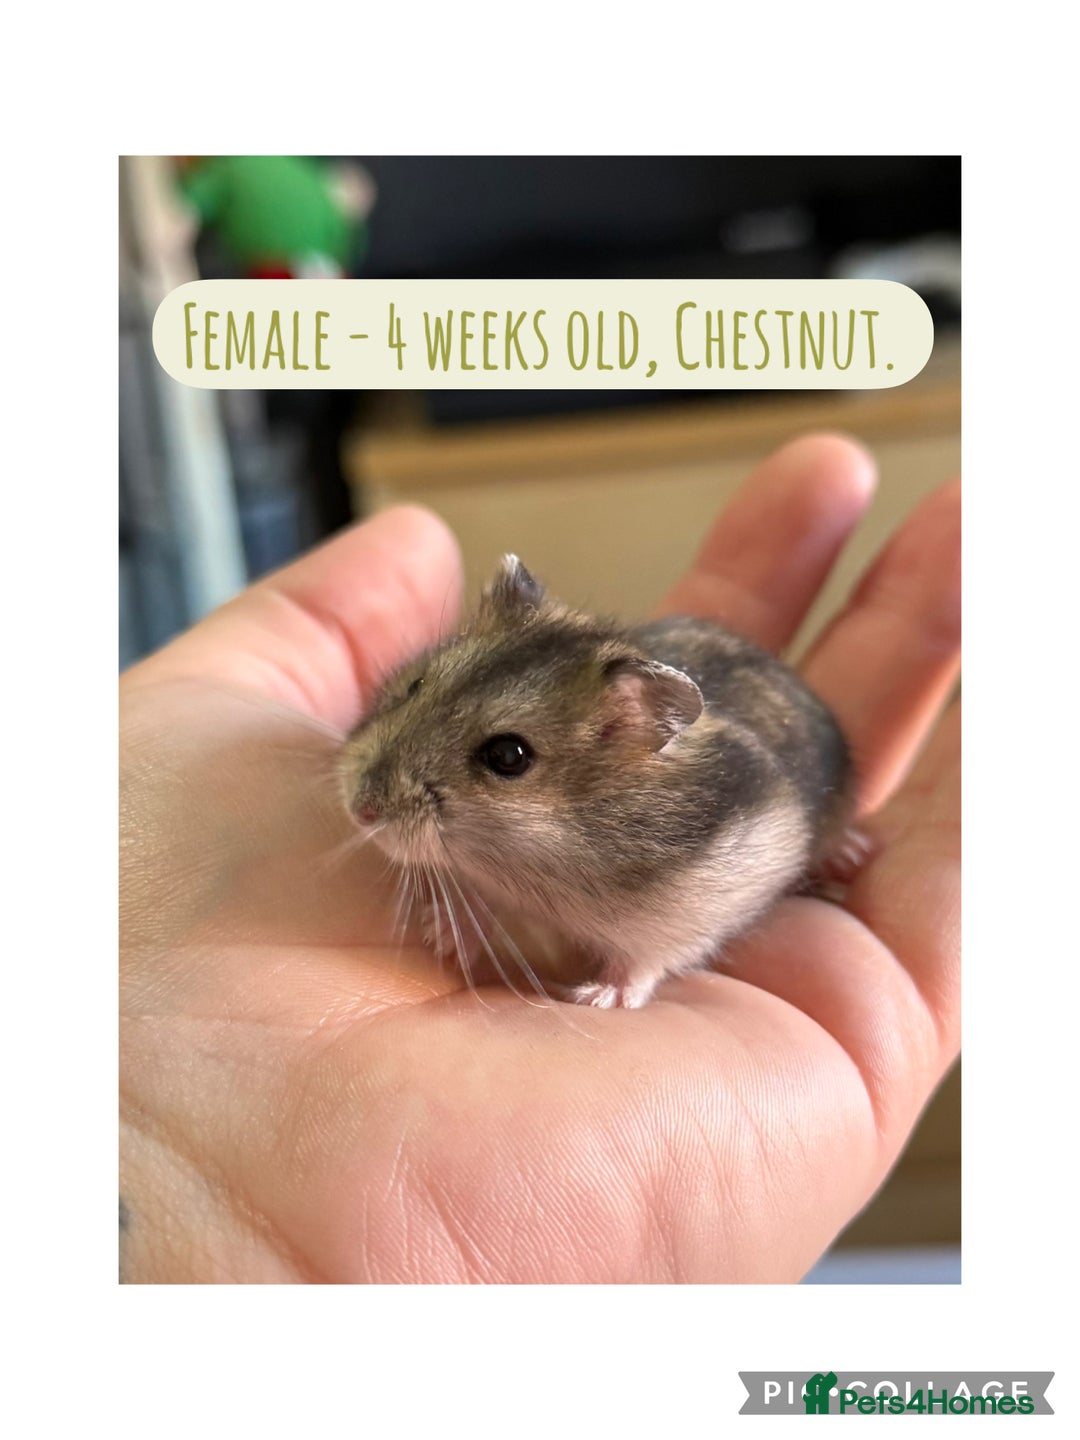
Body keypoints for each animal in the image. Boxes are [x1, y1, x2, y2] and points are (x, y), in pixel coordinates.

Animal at [340, 554, 857, 1009]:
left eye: (508, 756)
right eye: (416, 685)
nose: (360, 811)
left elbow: (647, 961)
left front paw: (597, 997)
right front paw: (443, 934)